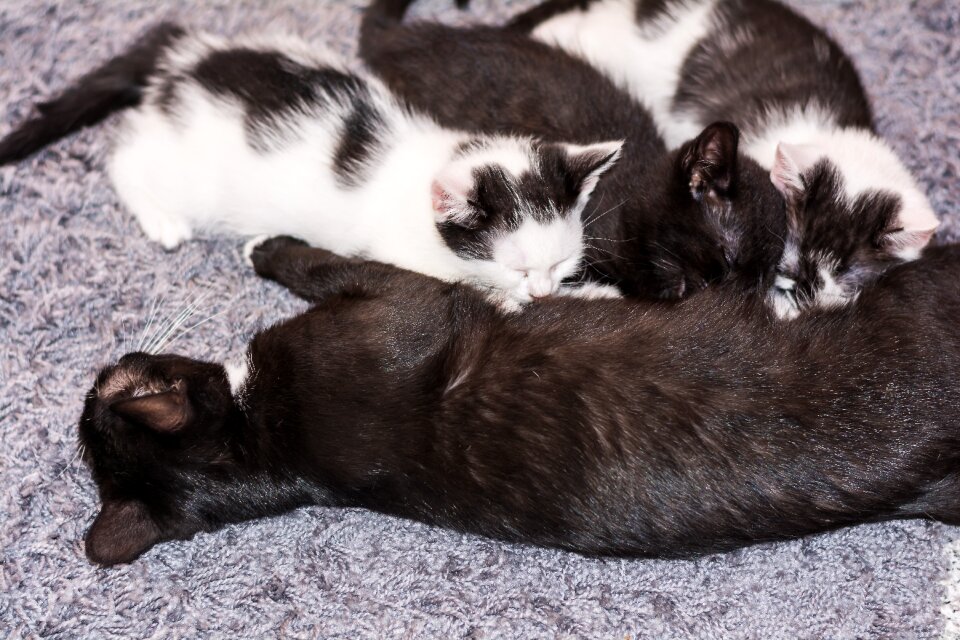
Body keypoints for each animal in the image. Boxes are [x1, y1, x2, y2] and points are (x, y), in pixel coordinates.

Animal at [79, 235, 960, 564]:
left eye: (100, 392)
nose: (110, 359)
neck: (262, 444)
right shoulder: (405, 300)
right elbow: (324, 260)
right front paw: (269, 246)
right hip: (916, 297)